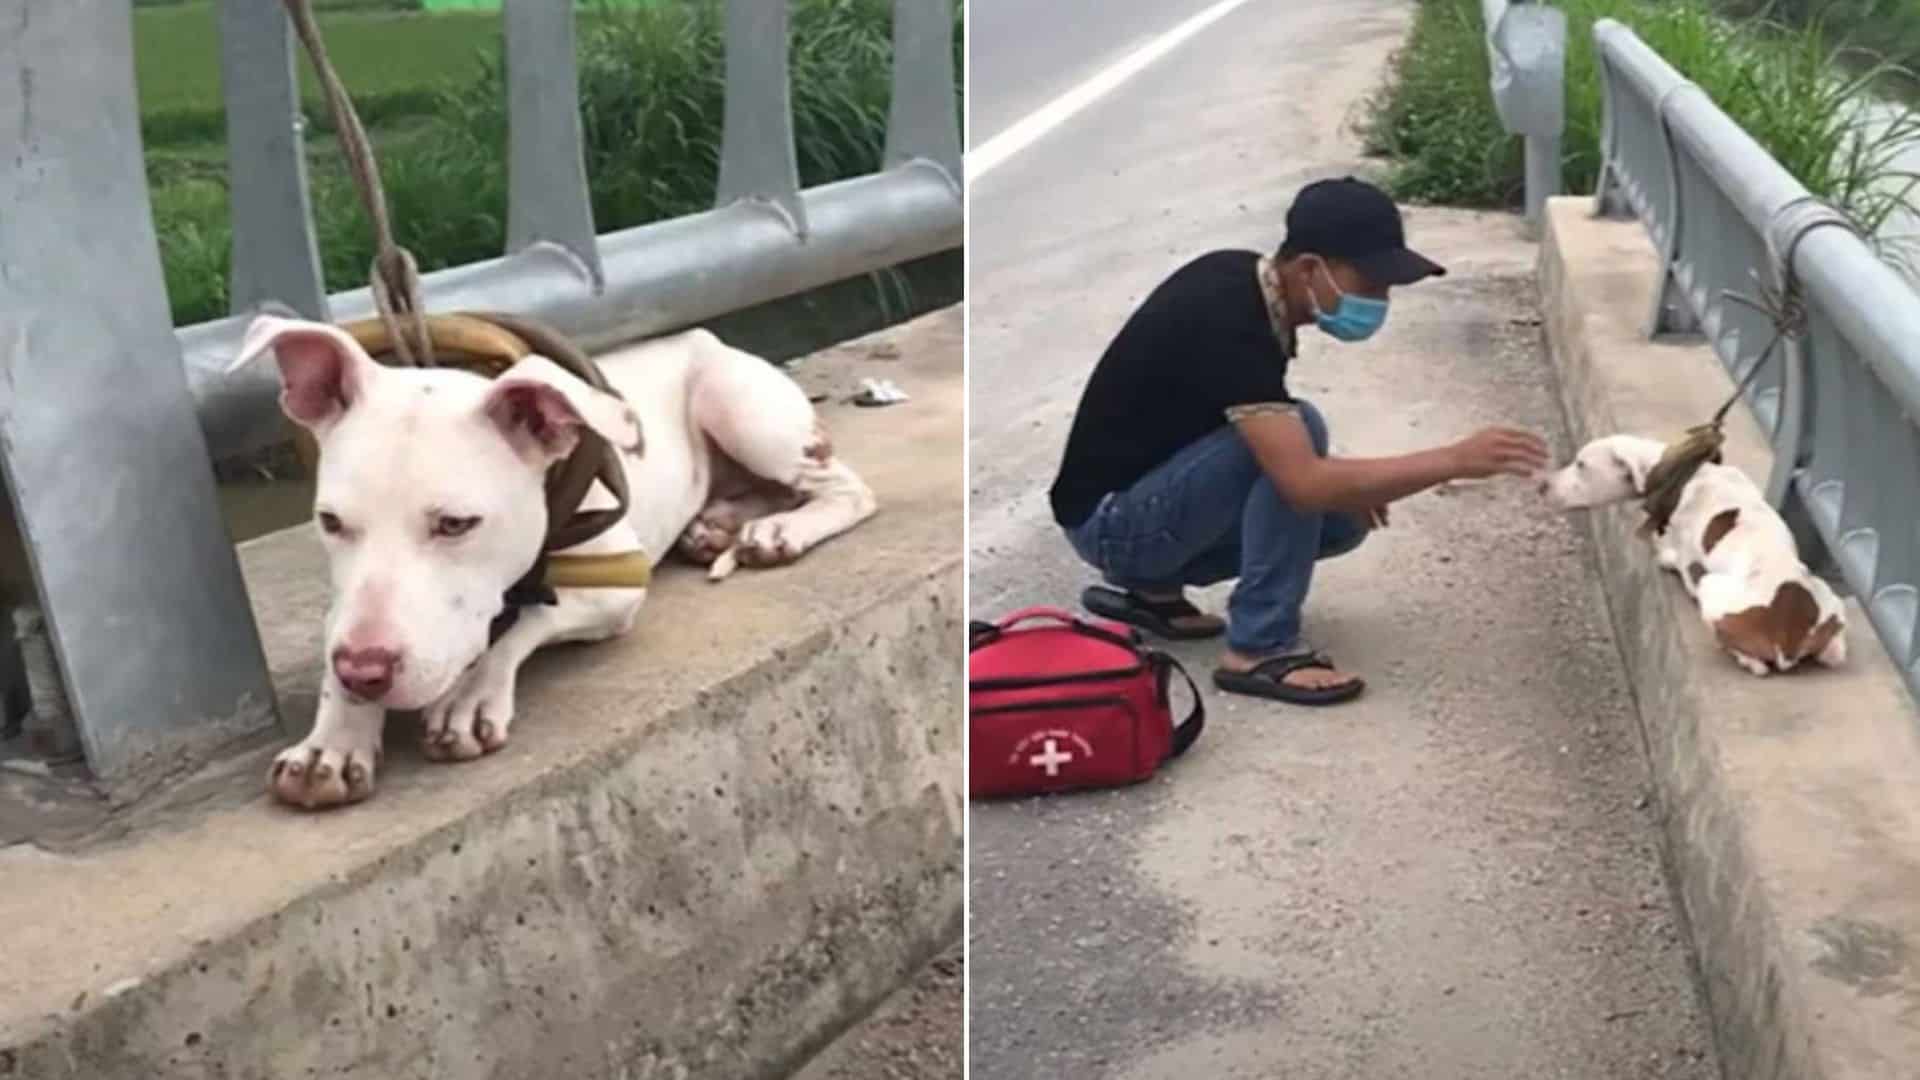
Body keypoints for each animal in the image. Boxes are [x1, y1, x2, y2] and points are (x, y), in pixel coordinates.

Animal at [230, 315, 879, 803]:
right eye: (331, 522)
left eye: (455, 524)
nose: (365, 671)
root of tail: (706, 337)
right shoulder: (345, 607)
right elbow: (334, 646)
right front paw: (333, 741)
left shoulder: (617, 584)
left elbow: (525, 618)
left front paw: (469, 694)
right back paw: (718, 526)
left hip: (739, 408)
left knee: (845, 491)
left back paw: (779, 531)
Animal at [1528, 430, 1843, 672]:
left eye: (1581, 464)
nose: (1542, 485)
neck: (1680, 471)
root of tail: (1788, 634)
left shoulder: (1689, 561)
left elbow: (1677, 560)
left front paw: (1666, 556)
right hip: (1832, 608)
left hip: (1712, 587)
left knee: (1756, 664)